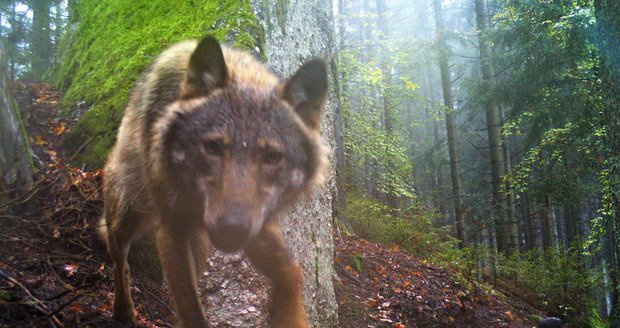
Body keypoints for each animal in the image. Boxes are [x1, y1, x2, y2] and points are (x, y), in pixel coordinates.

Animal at [99, 34, 330, 328]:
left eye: (272, 156)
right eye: (212, 148)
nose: (232, 227)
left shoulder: (256, 225)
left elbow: (291, 271)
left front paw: (286, 315)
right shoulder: (173, 230)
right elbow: (192, 312)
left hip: (200, 243)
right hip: (127, 216)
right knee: (121, 261)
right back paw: (124, 311)